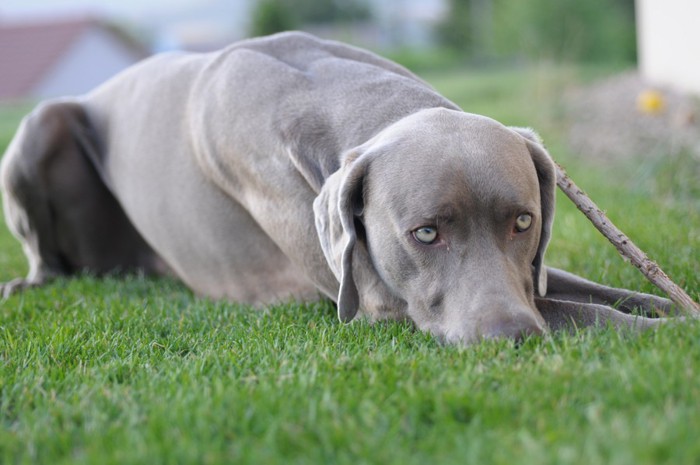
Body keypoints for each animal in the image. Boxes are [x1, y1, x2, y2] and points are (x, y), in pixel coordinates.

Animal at [2, 32, 676, 342]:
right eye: (424, 233)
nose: (511, 336)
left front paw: (666, 308)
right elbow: (579, 311)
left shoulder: (525, 272)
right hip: (39, 128)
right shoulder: (381, 303)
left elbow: (596, 292)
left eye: (524, 222)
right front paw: (667, 338)